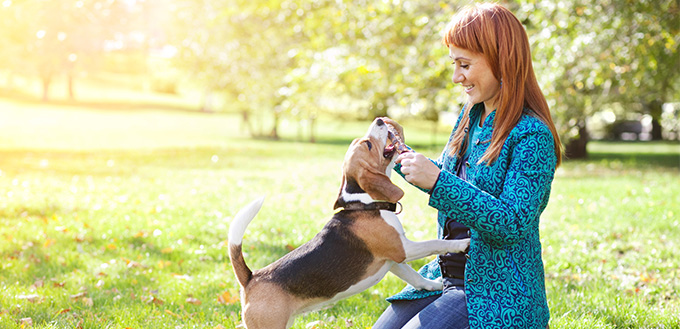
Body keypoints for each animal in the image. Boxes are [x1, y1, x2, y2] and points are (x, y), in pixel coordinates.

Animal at [227, 118, 468, 328]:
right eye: (368, 144)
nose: (380, 120)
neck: (365, 203)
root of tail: (251, 278)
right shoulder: (403, 249)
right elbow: (436, 243)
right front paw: (461, 244)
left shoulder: (393, 260)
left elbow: (416, 277)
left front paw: (434, 286)